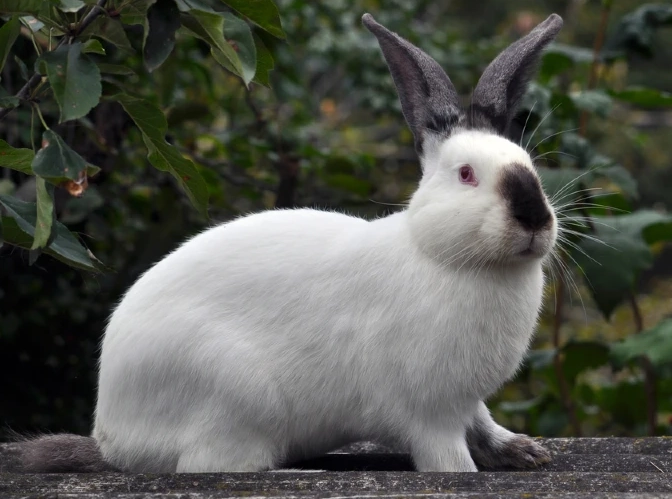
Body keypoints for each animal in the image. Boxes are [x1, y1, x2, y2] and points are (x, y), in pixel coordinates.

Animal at [18, 12, 563, 473]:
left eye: (529, 166)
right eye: (467, 174)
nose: (534, 218)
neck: (446, 257)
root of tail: (112, 438)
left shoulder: (467, 402)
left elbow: (484, 424)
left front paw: (524, 452)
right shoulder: (431, 414)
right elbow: (449, 460)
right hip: (237, 396)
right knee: (209, 465)